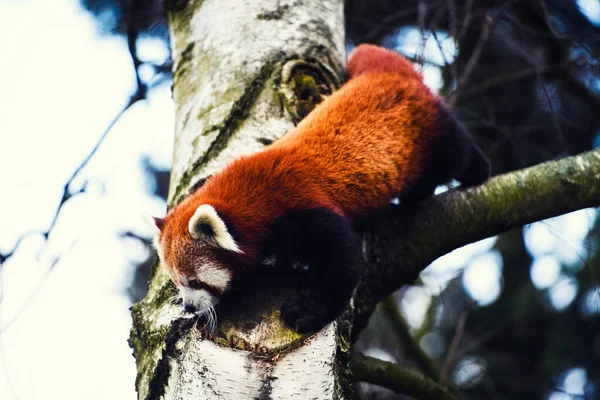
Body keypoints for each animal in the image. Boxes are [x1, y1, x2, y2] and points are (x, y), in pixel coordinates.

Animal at [152, 43, 490, 332]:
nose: (188, 307)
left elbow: (344, 262)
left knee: (456, 154)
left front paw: (307, 312)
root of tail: (387, 73)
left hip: (427, 128)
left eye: (194, 281)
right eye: (177, 282)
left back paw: (478, 170)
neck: (254, 197)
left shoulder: (303, 210)